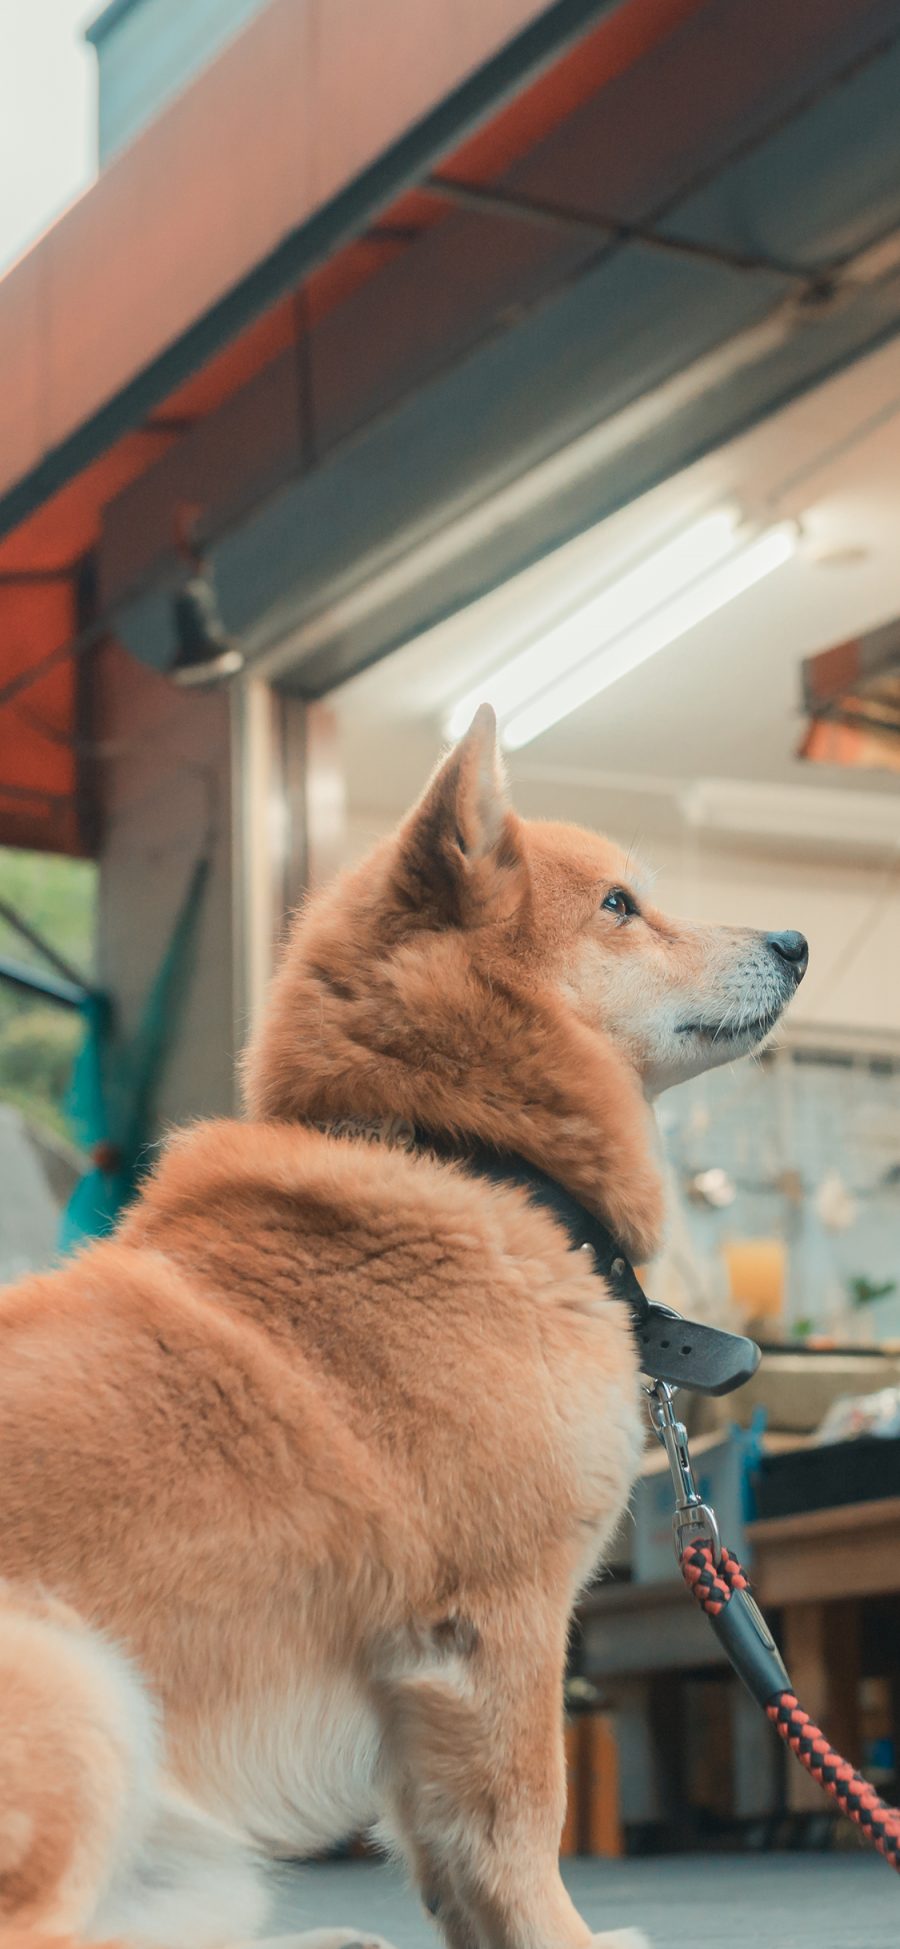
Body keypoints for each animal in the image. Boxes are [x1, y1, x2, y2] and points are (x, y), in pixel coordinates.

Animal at [0, 713, 806, 1949]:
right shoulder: (498, 1627)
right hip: (85, 1696)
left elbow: (454, 1863)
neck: (468, 1153)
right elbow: (521, 1833)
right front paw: (568, 1938)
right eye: (620, 905)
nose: (797, 937)